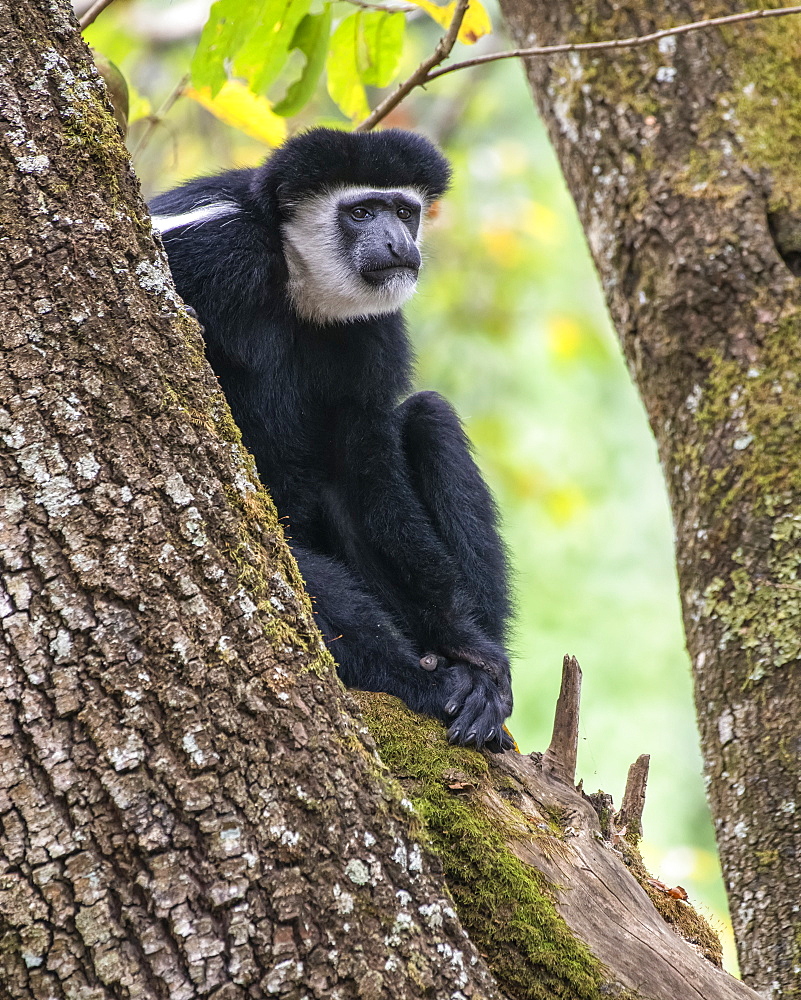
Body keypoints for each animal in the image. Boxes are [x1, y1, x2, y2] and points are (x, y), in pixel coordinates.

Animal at [150, 127, 512, 752]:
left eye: (404, 211)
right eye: (361, 212)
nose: (398, 244)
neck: (294, 280)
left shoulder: (374, 331)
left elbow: (365, 475)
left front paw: (476, 655)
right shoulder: (213, 248)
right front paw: (435, 680)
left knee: (430, 418)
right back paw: (422, 682)